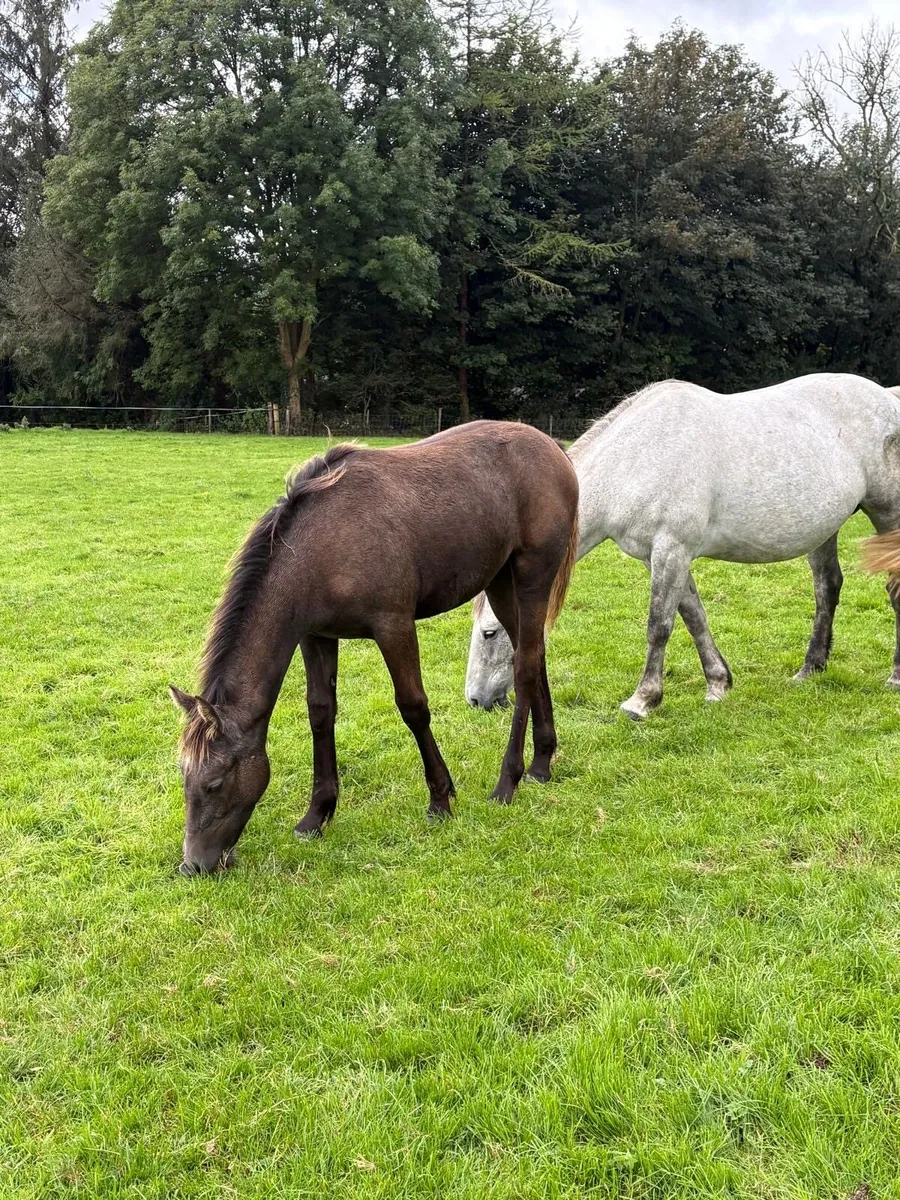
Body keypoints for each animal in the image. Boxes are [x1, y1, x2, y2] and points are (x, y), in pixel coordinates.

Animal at [169, 422, 579, 874]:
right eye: (183, 777)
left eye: (215, 783)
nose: (193, 865)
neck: (320, 546)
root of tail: (551, 447)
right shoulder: (316, 637)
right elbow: (320, 713)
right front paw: (317, 814)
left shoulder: (393, 626)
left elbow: (413, 707)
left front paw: (441, 799)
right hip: (501, 582)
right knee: (534, 654)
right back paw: (542, 762)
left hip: (532, 576)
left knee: (524, 668)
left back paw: (509, 781)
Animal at [466, 374, 900, 719]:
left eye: (489, 633)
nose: (475, 699)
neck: (635, 460)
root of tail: (887, 396)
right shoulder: (660, 556)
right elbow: (693, 616)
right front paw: (718, 684)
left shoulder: (670, 550)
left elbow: (659, 624)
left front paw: (642, 701)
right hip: (825, 529)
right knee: (827, 588)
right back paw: (810, 669)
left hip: (888, 517)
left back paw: (894, 677)